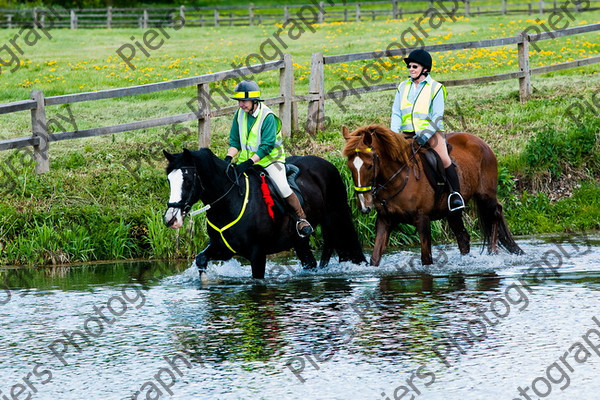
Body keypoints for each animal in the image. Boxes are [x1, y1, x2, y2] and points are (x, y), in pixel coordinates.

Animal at [162, 148, 366, 278]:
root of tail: (326, 163)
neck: (229, 202)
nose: (171, 219)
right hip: (299, 240)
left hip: (337, 218)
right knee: (310, 262)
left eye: (187, 180)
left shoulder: (257, 254)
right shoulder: (223, 249)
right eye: (169, 180)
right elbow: (201, 259)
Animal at [344, 125, 524, 268]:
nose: (365, 205)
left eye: (369, 165)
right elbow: (375, 258)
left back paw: (493, 252)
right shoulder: (384, 220)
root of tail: (482, 142)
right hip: (453, 212)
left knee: (496, 212)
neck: (398, 177)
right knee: (463, 238)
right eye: (350, 166)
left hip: (485, 194)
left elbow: (426, 259)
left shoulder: (422, 219)